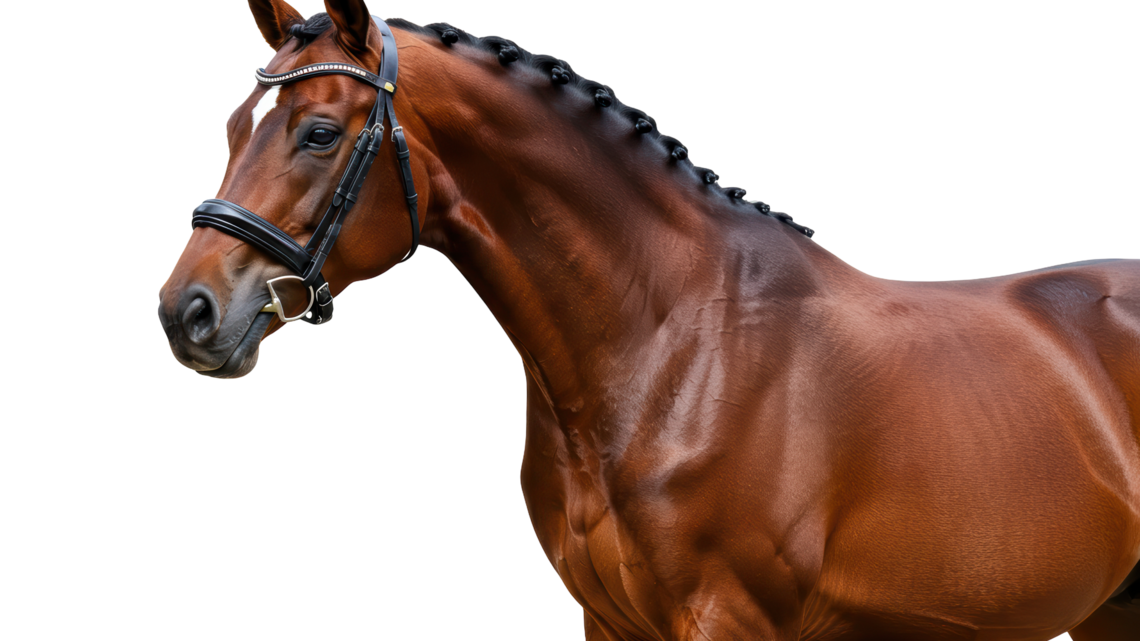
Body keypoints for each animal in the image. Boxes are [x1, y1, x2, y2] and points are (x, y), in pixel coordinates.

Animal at [157, 1, 1140, 638]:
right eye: (237, 122)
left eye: (320, 133)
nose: (186, 310)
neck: (671, 346)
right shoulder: (609, 620)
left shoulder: (730, 620)